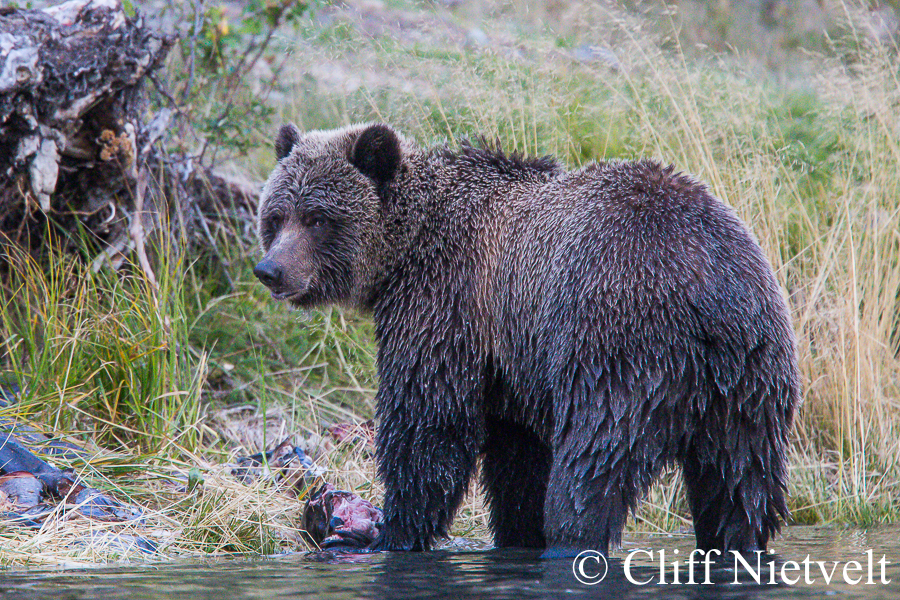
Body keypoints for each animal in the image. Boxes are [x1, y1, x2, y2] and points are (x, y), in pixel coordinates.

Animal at [255, 123, 800, 556]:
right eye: (277, 215)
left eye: (318, 217)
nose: (270, 270)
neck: (405, 252)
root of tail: (708, 288)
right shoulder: (513, 361)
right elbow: (517, 459)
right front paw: (515, 532)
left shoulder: (448, 306)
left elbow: (429, 424)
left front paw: (393, 532)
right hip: (751, 380)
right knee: (739, 484)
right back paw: (736, 545)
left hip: (617, 347)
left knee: (591, 471)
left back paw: (572, 540)